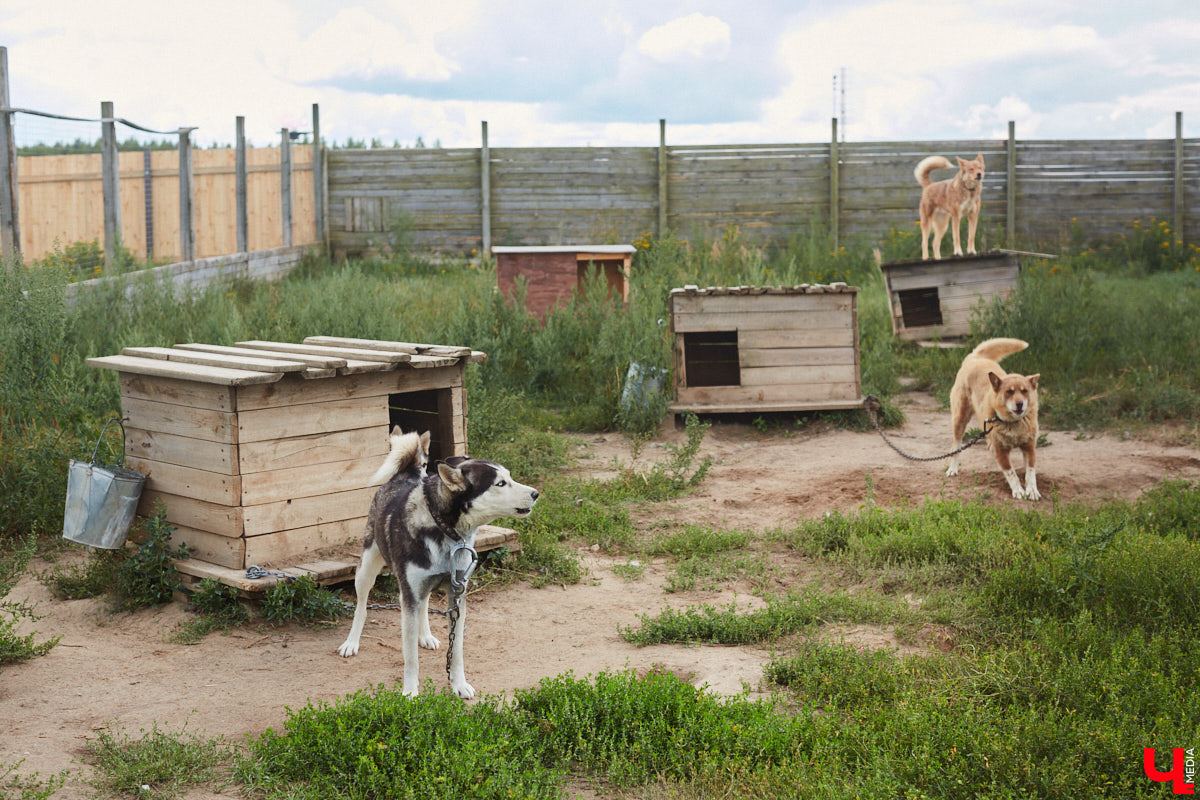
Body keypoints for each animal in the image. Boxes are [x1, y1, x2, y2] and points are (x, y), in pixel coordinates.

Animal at [336, 429, 537, 695]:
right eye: (500, 483)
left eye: (510, 477)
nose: (536, 494)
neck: (444, 529)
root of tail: (406, 474)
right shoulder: (410, 596)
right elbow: (410, 656)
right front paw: (410, 692)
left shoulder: (457, 594)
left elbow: (457, 650)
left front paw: (459, 684)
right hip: (366, 571)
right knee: (361, 606)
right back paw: (351, 642)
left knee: (424, 604)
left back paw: (425, 635)